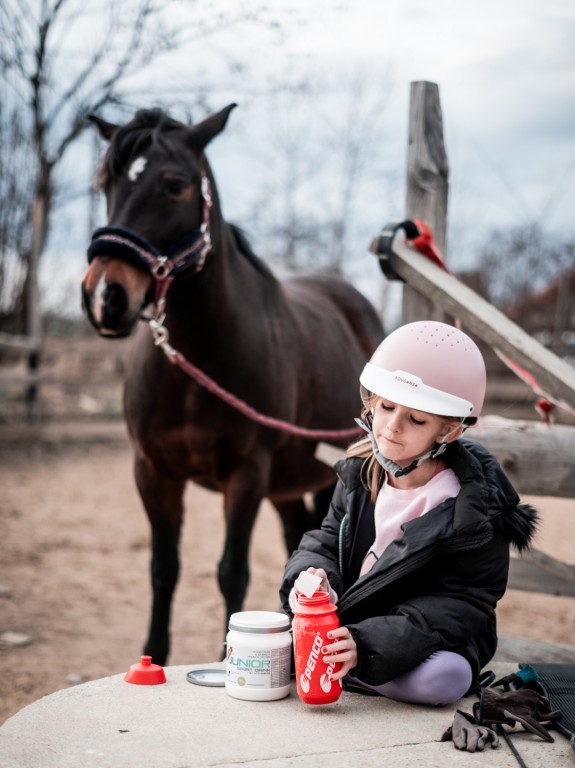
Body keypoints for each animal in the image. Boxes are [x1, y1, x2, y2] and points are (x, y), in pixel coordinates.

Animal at [81, 103, 384, 664]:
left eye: (175, 185)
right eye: (107, 182)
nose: (105, 296)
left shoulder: (246, 475)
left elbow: (230, 573)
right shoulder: (152, 471)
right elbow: (164, 569)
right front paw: (154, 656)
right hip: (288, 484)